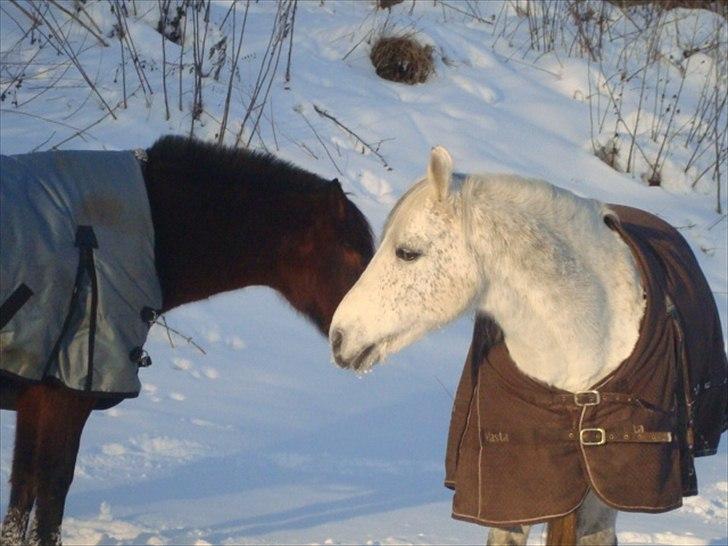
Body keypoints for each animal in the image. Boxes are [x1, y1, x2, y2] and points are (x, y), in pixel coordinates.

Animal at [0, 135, 372, 540]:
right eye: (353, 254)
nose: (368, 341)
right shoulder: (65, 397)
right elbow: (49, 499)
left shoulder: (37, 396)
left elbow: (21, 496)